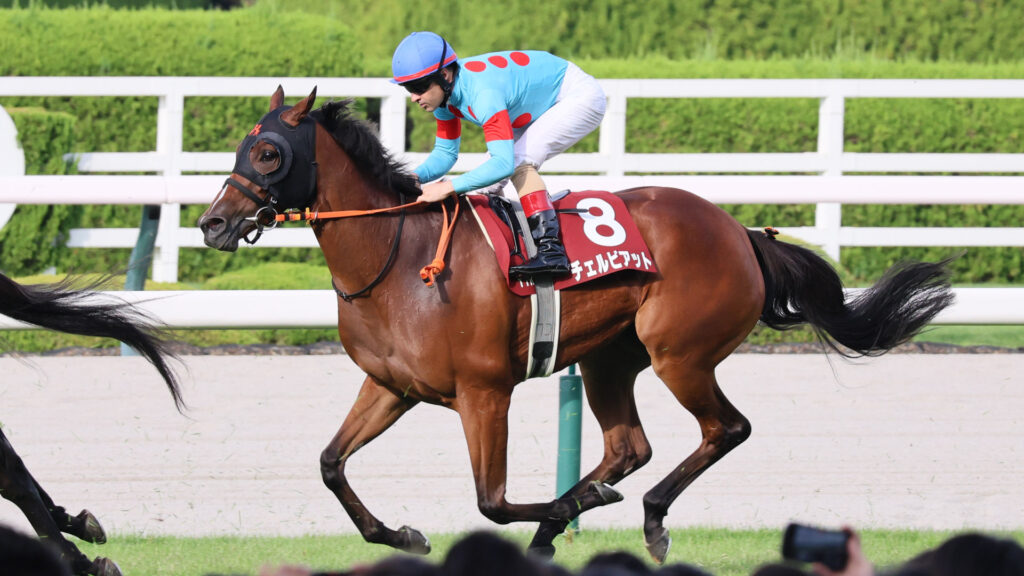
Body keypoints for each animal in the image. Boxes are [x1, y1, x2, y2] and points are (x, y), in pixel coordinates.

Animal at [198, 87, 955, 563]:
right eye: (239, 147)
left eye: (268, 153)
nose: (213, 223)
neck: (400, 259)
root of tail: (739, 231)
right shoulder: (391, 386)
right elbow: (331, 465)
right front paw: (405, 535)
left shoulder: (484, 392)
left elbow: (493, 502)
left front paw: (555, 516)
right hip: (609, 359)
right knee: (629, 445)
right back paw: (589, 500)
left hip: (680, 353)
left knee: (724, 430)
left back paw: (643, 516)